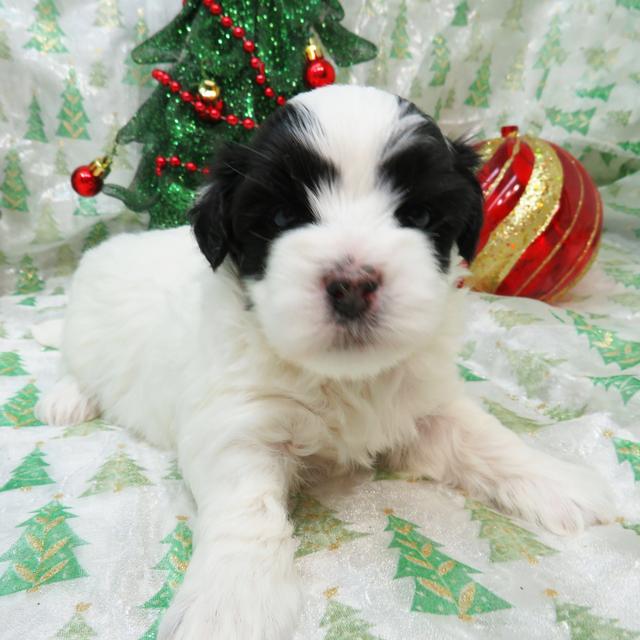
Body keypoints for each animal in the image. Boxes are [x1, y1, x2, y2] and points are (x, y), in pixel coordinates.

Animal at [37, 85, 612, 640]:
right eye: (282, 218)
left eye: (419, 216)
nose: (352, 283)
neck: (344, 378)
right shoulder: (237, 421)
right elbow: (245, 507)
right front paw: (231, 601)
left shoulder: (424, 398)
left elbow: (484, 437)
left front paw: (560, 482)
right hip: (83, 326)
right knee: (71, 362)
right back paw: (65, 399)